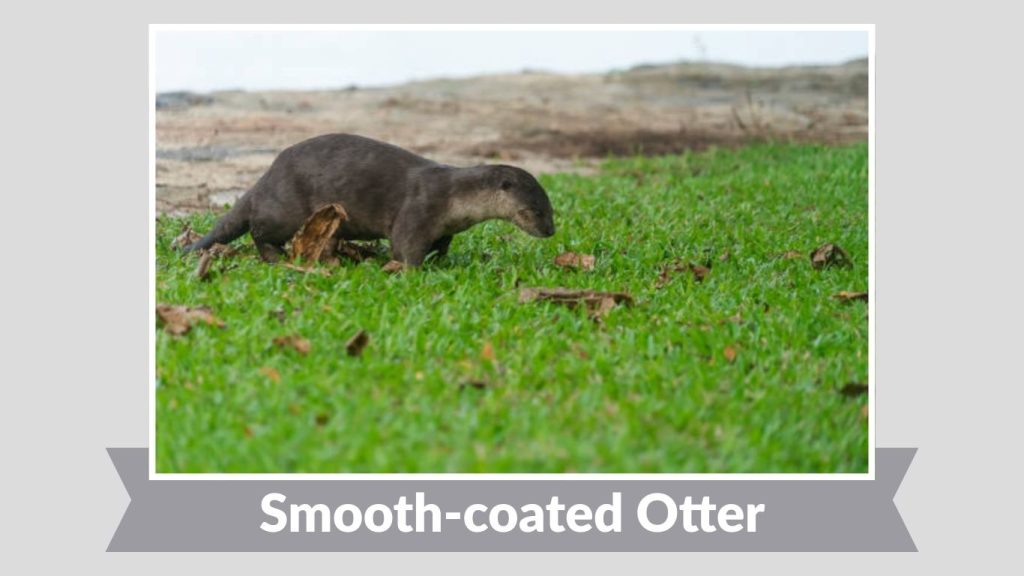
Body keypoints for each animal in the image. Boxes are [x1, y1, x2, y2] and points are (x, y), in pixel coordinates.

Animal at [184, 133, 556, 265]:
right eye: (535, 210)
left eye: (551, 210)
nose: (550, 232)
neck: (454, 196)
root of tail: (265, 178)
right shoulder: (419, 210)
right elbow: (405, 247)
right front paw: (414, 270)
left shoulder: (446, 228)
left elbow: (441, 245)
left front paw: (441, 261)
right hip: (284, 208)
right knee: (259, 232)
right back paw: (276, 258)